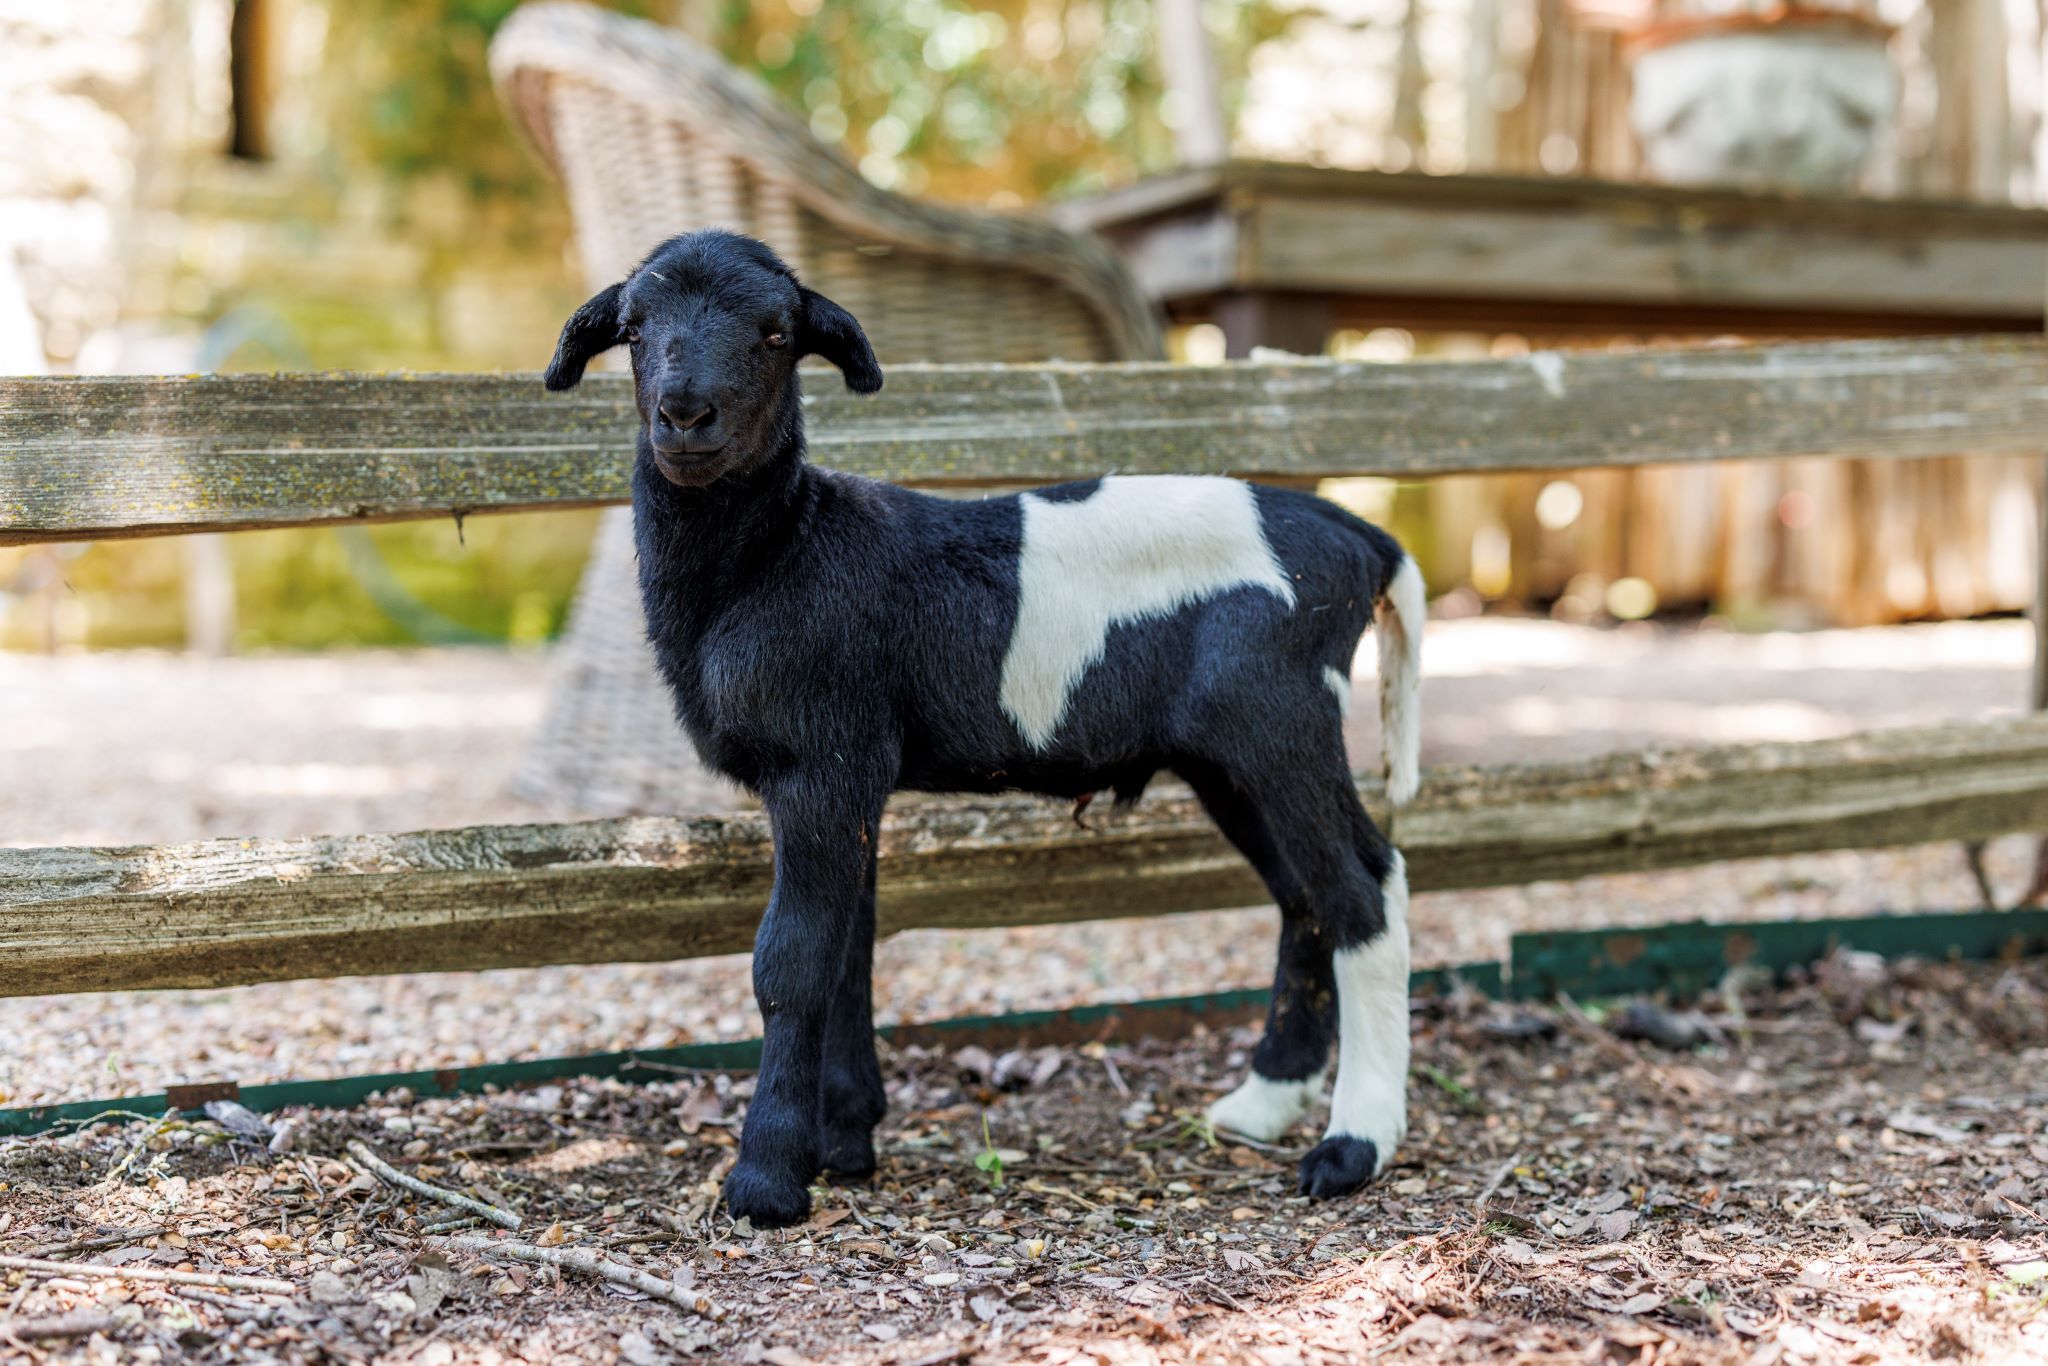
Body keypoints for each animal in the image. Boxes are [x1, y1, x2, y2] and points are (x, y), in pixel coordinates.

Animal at [543, 230, 1426, 1228]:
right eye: (633, 328)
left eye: (775, 334)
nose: (687, 415)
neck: (778, 553)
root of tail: (1364, 541)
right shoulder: (857, 772)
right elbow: (851, 944)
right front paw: (847, 1141)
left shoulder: (819, 760)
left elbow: (793, 960)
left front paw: (767, 1178)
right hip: (1227, 757)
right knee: (1302, 897)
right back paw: (1262, 1104)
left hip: (1284, 719)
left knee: (1363, 889)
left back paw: (1352, 1146)